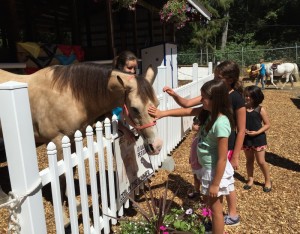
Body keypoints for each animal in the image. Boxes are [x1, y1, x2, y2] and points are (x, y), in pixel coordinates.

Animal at [0, 62, 163, 225]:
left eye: (157, 103)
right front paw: (64, 216)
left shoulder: (71, 141)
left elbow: (71, 172)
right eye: (135, 108)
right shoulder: (56, 142)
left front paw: (75, 204)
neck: (71, 97)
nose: (157, 145)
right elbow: (61, 178)